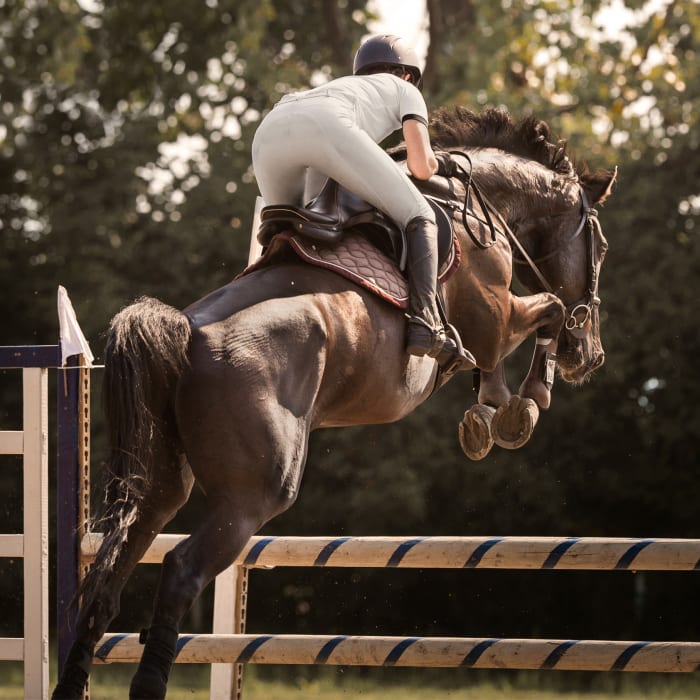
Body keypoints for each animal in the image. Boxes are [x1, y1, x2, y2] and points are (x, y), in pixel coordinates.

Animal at [52, 109, 616, 700]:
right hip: (253, 496)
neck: (475, 203)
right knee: (182, 568)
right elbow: (549, 311)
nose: (590, 356)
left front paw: (491, 412)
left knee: (110, 577)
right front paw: (517, 405)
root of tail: (185, 331)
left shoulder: (494, 326)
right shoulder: (497, 318)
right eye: (601, 247)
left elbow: (522, 336)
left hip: (160, 484)